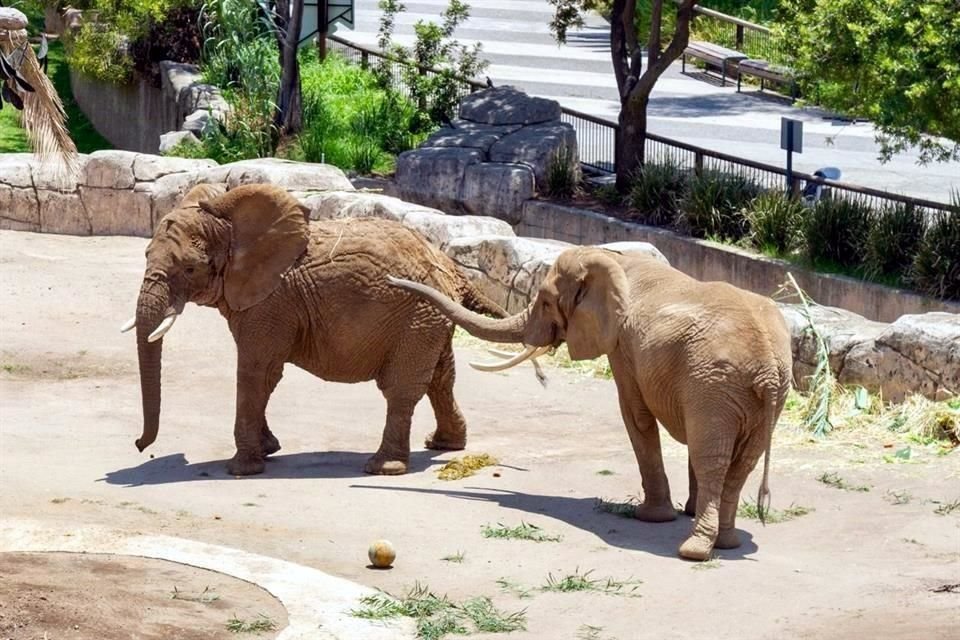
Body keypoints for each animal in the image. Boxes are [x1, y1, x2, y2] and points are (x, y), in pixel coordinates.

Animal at [124, 182, 506, 478]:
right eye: (145, 255)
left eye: (189, 269)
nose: (140, 445)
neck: (230, 227)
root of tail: (453, 271)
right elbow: (266, 376)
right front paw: (268, 450)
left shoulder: (271, 301)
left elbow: (256, 371)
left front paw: (241, 469)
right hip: (431, 317)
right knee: (441, 378)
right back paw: (444, 444)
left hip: (417, 317)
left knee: (401, 387)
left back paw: (383, 467)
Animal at [386, 246, 792, 560]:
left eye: (546, 302)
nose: (391, 281)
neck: (615, 259)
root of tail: (768, 369)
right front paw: (680, 512)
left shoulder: (623, 345)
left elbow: (635, 415)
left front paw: (651, 517)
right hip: (750, 395)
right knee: (742, 463)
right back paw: (726, 543)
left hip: (715, 387)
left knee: (715, 459)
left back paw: (693, 550)